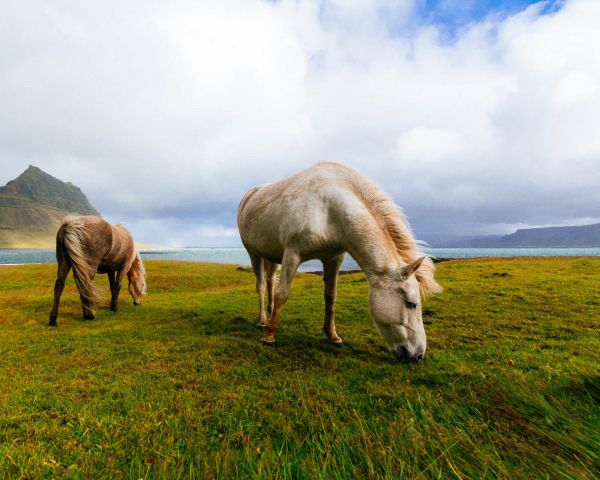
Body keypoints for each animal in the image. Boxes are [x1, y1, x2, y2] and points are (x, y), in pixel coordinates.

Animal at [237, 160, 442, 360]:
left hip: (272, 256)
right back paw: (263, 321)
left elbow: (331, 297)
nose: (418, 355)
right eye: (411, 304)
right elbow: (282, 294)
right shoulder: (292, 255)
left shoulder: (334, 259)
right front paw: (269, 337)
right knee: (261, 286)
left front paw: (333, 336)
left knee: (270, 282)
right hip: (253, 253)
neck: (328, 209)